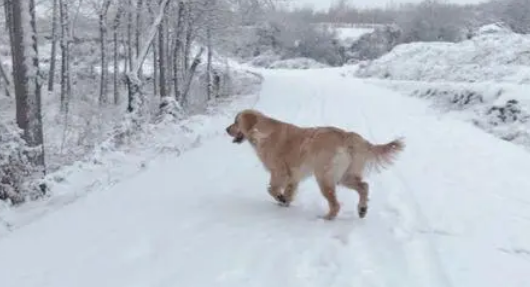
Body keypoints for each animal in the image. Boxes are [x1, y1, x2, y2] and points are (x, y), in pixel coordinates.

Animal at [224, 108, 404, 220]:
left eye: (236, 121)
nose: (226, 129)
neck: (262, 131)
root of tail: (348, 136)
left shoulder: (279, 171)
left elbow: (271, 189)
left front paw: (281, 198)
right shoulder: (293, 177)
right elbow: (288, 192)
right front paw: (285, 203)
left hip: (324, 177)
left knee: (336, 204)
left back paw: (328, 218)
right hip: (344, 176)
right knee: (364, 186)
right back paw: (362, 209)